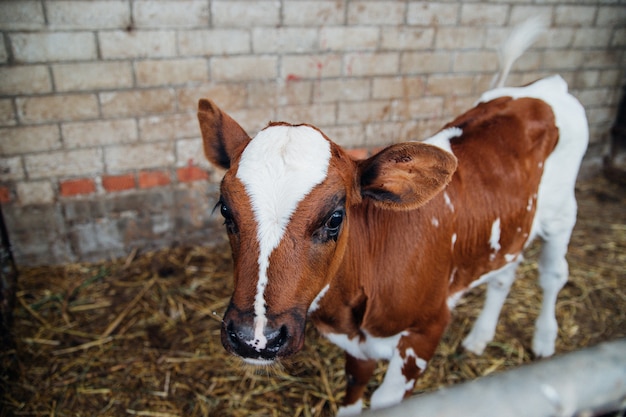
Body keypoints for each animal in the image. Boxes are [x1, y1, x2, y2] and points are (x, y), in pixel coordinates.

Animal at [195, 30, 584, 416]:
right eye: (226, 210)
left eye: (335, 217)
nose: (255, 338)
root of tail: (544, 87)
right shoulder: (357, 344)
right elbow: (355, 385)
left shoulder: (426, 330)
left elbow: (385, 401)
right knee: (504, 273)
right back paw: (479, 337)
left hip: (563, 212)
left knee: (553, 275)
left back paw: (544, 340)